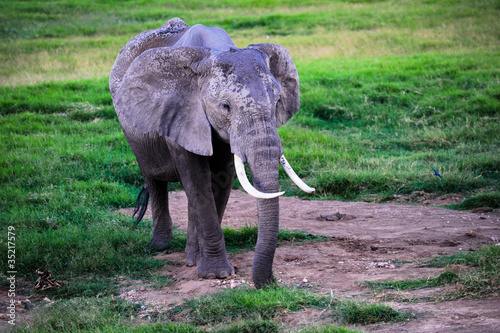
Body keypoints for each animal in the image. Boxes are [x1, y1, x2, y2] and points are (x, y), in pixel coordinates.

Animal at [110, 17, 312, 288]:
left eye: (277, 101)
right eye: (225, 106)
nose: (270, 283)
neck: (215, 50)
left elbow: (220, 180)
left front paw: (202, 264)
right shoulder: (180, 113)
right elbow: (198, 182)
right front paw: (216, 274)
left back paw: (191, 255)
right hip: (133, 133)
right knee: (154, 180)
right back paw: (161, 246)